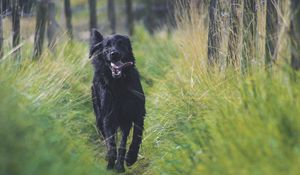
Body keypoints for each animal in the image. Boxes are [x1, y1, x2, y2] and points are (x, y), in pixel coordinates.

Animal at [89, 29, 145, 173]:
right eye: (107, 46)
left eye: (121, 43)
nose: (114, 54)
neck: (119, 84)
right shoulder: (108, 116)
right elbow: (111, 143)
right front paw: (110, 160)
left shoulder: (136, 113)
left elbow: (135, 136)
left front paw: (130, 158)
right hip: (99, 118)